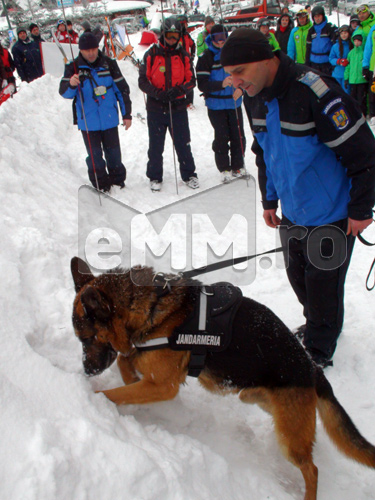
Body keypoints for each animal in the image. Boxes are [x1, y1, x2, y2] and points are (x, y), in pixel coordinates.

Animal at [71, 258, 375, 500]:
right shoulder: (149, 369)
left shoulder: (164, 385)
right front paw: (129, 379)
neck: (149, 305)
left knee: (311, 469)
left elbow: (114, 391)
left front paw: (94, 401)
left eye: (87, 339)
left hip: (289, 439)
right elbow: (126, 363)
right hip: (274, 411)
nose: (86, 371)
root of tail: (312, 369)